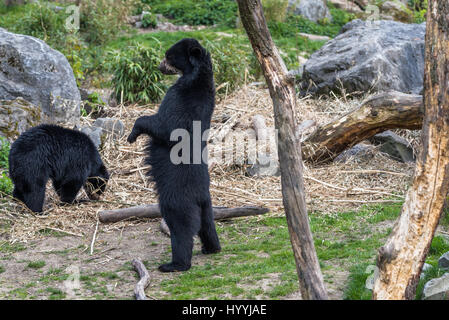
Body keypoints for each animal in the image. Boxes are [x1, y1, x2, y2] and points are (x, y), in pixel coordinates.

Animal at [128, 38, 220, 272]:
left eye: (169, 56)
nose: (159, 66)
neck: (197, 76)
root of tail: (198, 196)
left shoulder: (181, 99)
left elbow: (165, 125)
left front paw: (132, 134)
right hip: (207, 203)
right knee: (207, 224)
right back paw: (212, 248)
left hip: (176, 200)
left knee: (181, 228)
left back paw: (174, 264)